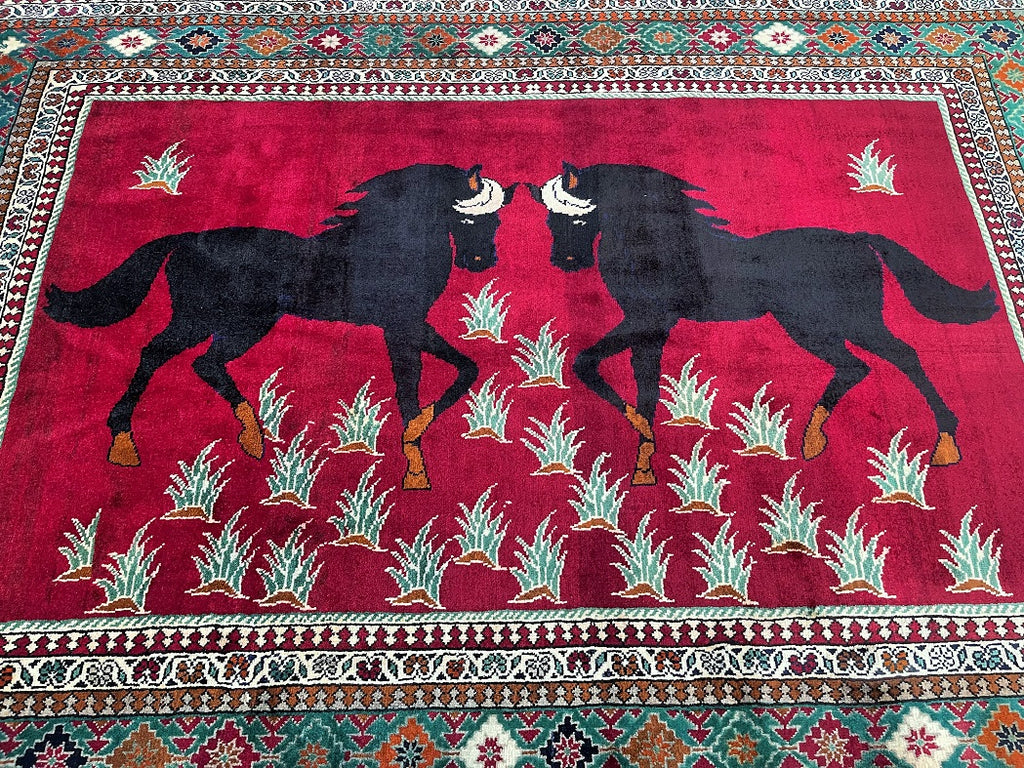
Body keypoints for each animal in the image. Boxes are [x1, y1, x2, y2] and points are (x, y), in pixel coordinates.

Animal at [45, 163, 517, 490]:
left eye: (497, 221)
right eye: (469, 218)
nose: (481, 262)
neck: (392, 245)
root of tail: (185, 239)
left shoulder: (407, 326)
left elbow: (449, 376)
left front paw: (415, 466)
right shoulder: (402, 326)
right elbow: (431, 383)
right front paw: (414, 458)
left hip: (244, 323)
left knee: (203, 363)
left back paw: (252, 437)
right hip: (203, 317)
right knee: (157, 353)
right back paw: (124, 444)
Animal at [528, 162, 998, 486]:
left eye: (577, 216)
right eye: (548, 219)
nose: (565, 261)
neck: (659, 243)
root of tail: (859, 238)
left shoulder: (647, 319)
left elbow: (586, 364)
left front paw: (643, 442)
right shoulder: (651, 328)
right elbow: (643, 389)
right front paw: (644, 465)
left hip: (847, 319)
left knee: (903, 354)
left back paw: (945, 446)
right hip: (809, 325)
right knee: (856, 366)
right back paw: (813, 439)